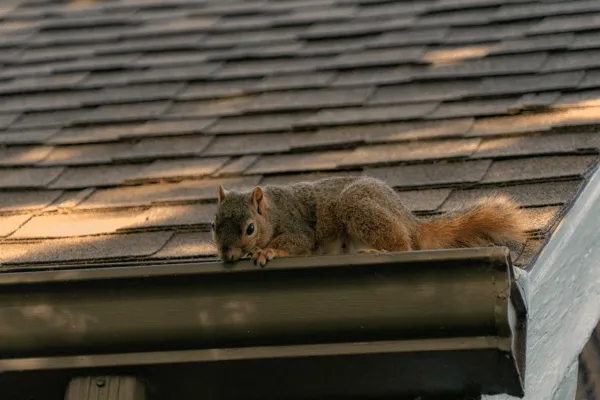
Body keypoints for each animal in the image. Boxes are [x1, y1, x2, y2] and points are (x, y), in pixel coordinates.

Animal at [211, 177, 524, 268]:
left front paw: (265, 251)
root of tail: (410, 220)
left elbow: (296, 240)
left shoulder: (297, 226)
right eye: (213, 225)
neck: (273, 212)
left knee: (403, 247)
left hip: (358, 207)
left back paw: (379, 251)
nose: (226, 255)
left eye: (250, 229)